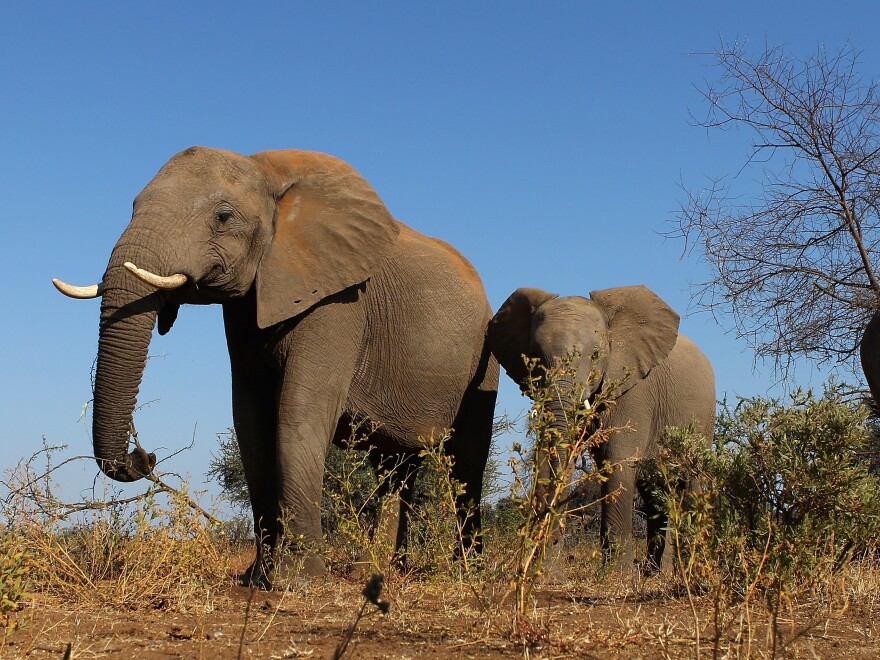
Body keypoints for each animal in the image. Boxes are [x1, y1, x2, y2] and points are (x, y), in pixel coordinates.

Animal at [53, 146, 496, 588]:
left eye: (223, 216)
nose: (145, 457)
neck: (266, 172)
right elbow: (250, 420)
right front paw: (257, 578)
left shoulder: (338, 301)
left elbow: (298, 412)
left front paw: (301, 580)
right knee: (395, 467)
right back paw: (377, 572)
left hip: (483, 359)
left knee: (466, 463)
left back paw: (464, 572)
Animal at [488, 286, 716, 568]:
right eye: (535, 354)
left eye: (596, 354)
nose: (553, 551)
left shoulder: (633, 391)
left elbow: (616, 462)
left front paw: (617, 574)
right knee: (654, 492)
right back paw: (656, 572)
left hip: (703, 420)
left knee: (689, 483)